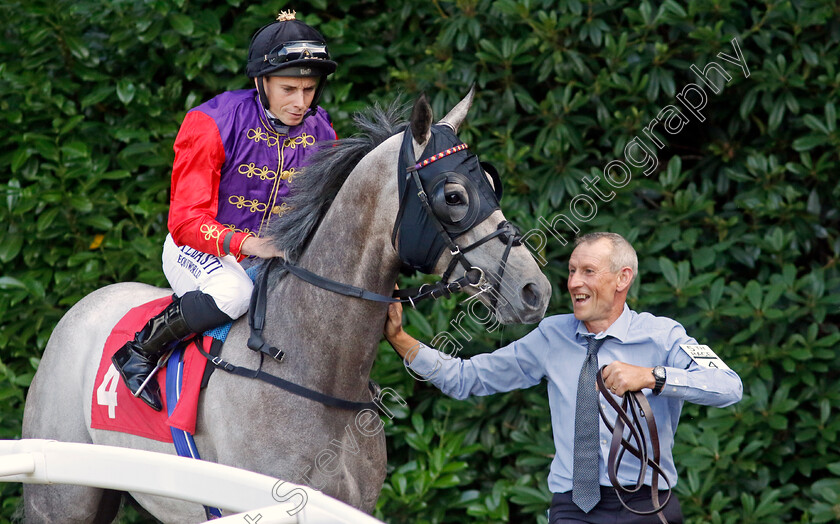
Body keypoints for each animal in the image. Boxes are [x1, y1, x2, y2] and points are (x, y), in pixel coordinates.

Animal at [21, 89, 552, 520]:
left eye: (490, 182)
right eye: (454, 195)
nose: (535, 290)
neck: (313, 372)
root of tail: (82, 307)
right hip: (61, 500)